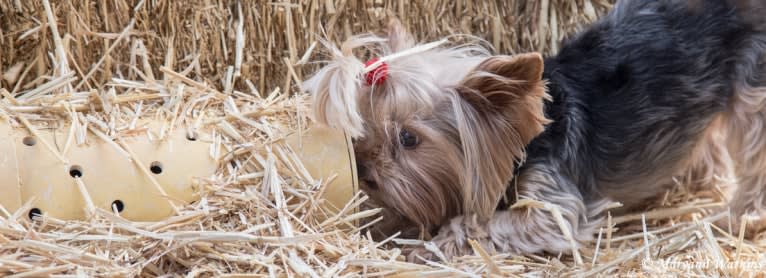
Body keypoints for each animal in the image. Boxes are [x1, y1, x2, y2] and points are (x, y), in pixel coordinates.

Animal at [304, 0, 766, 260]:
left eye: (408, 139)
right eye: (363, 129)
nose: (364, 171)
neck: (526, 145)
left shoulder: (555, 208)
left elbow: (481, 224)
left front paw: (433, 244)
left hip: (752, 89)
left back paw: (741, 218)